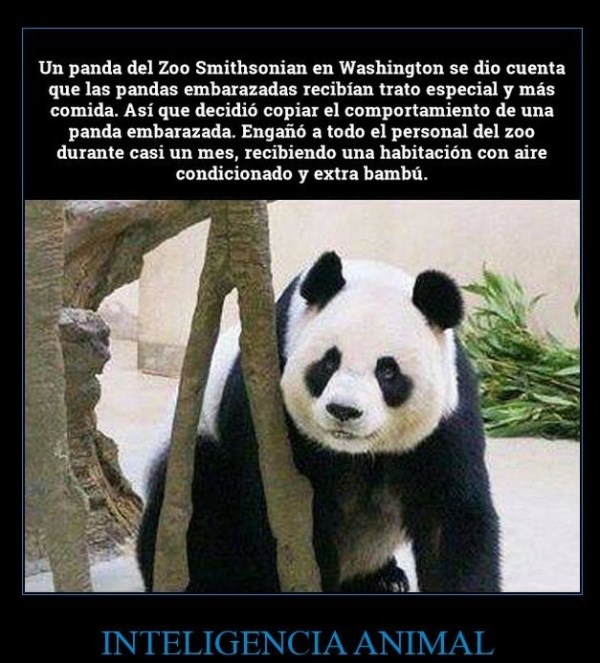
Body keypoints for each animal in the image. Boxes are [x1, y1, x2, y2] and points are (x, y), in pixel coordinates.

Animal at [137, 252, 501, 593]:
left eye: (387, 371)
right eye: (328, 362)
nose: (344, 410)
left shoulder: (447, 419)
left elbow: (450, 520)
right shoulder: (266, 402)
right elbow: (284, 510)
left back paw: (383, 579)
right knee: (201, 510)